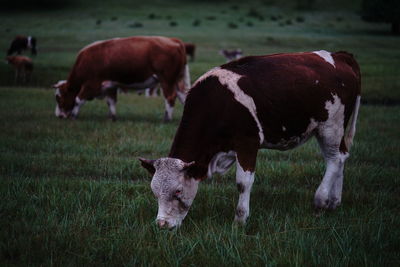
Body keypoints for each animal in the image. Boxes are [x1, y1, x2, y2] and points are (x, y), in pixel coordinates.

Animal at [54, 36, 191, 121]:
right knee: (183, 97)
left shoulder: (91, 84)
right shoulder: (110, 85)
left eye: (59, 97)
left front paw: (74, 116)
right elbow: (111, 102)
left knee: (170, 97)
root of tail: (173, 40)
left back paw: (166, 119)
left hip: (166, 80)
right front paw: (112, 117)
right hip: (177, 80)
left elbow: (78, 99)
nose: (58, 116)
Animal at [139, 50, 360, 230]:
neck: (218, 102)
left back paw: (320, 202)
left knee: (334, 160)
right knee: (341, 157)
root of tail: (340, 56)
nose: (162, 224)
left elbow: (243, 183)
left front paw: (240, 219)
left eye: (177, 192)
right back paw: (334, 202)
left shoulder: (248, 143)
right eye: (154, 192)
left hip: (331, 127)